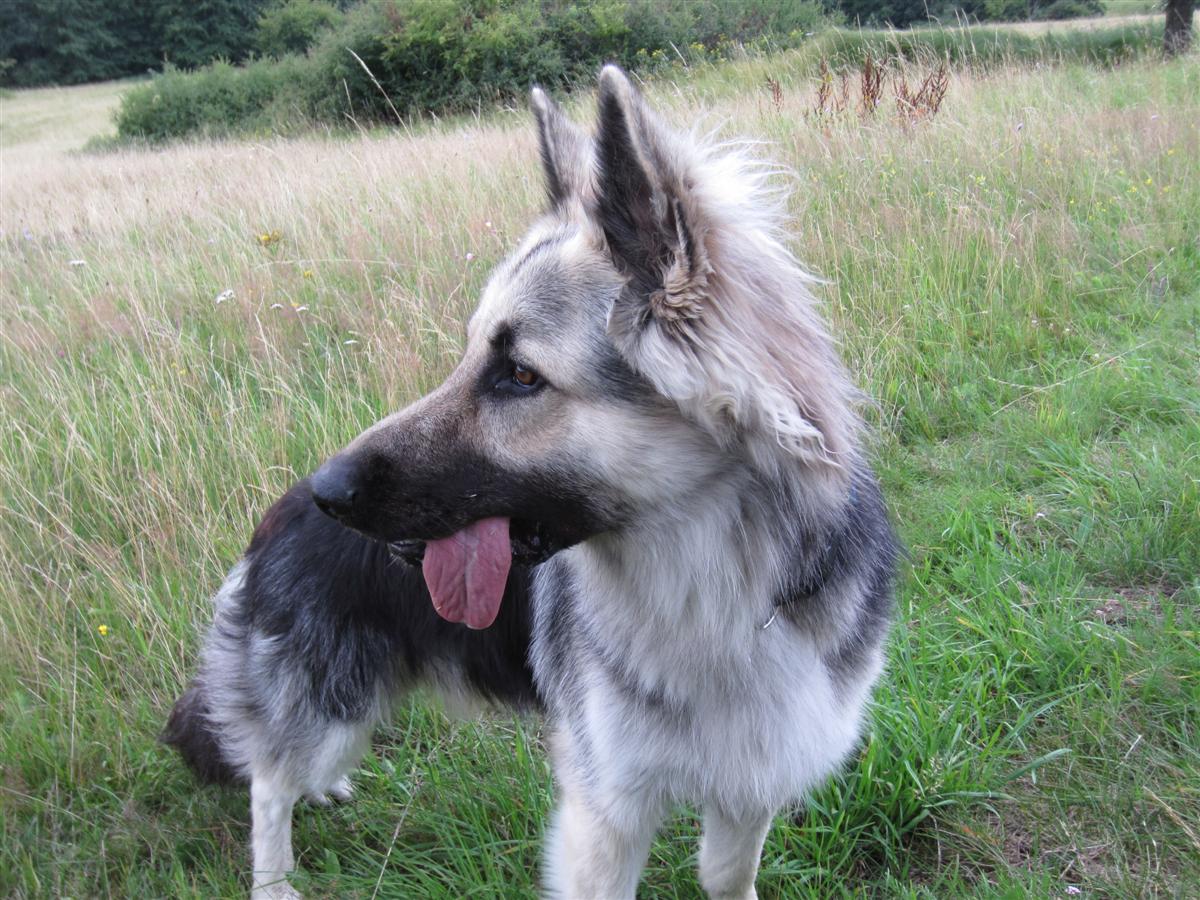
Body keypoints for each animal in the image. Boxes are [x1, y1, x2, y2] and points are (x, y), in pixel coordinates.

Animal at [169, 65, 902, 900]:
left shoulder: (752, 781)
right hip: (329, 704)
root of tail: (276, 515)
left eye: (519, 375)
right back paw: (277, 876)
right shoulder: (604, 814)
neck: (716, 588)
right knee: (269, 782)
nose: (331, 491)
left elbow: (727, 875)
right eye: (469, 356)